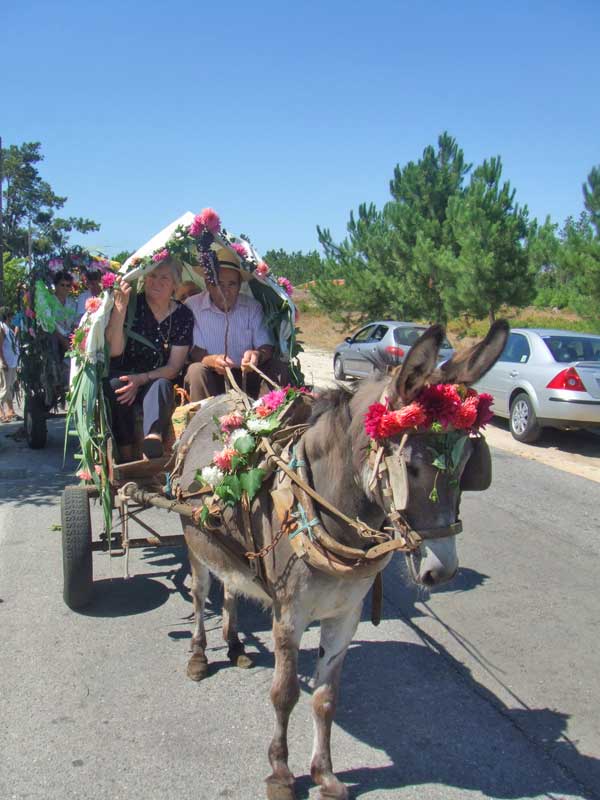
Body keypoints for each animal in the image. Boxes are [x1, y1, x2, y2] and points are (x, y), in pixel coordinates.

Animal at [176, 320, 508, 800]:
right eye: (410, 466)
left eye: (467, 465)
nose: (442, 571)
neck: (325, 513)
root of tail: (216, 402)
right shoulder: (290, 616)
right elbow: (285, 694)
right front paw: (281, 773)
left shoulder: (345, 615)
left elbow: (325, 698)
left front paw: (325, 774)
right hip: (194, 542)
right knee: (201, 594)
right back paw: (201, 655)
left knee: (233, 586)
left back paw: (236, 644)